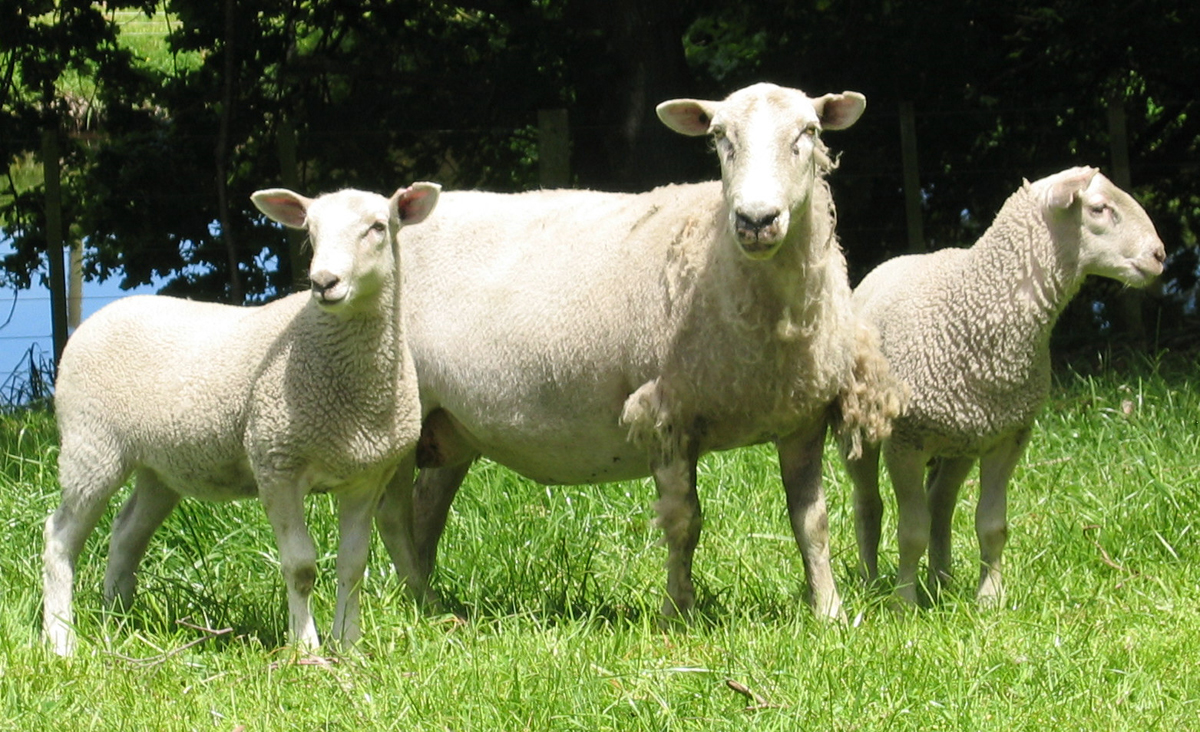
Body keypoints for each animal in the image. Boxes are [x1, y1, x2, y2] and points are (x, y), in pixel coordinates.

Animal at [42, 182, 440, 656]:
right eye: (310, 231)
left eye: (378, 226)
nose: (324, 283)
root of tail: (97, 318)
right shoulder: (276, 463)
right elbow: (300, 566)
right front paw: (306, 649)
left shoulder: (365, 475)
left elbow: (353, 564)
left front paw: (349, 646)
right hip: (90, 444)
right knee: (59, 537)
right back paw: (61, 639)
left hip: (160, 467)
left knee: (125, 534)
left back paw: (115, 620)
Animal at [374, 82, 879, 621]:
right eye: (719, 137)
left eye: (809, 132)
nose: (755, 220)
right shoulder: (667, 414)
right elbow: (685, 521)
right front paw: (678, 612)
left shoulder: (803, 419)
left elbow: (813, 522)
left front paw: (831, 613)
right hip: (400, 405)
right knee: (393, 513)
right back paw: (420, 598)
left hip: (449, 423)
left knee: (426, 507)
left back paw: (424, 599)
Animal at [842, 167, 1166, 607]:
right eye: (1099, 208)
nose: (1160, 255)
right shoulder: (905, 441)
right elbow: (910, 531)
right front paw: (903, 603)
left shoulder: (1009, 436)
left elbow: (991, 525)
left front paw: (989, 600)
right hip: (863, 428)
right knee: (868, 505)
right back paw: (872, 582)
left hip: (962, 437)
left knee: (940, 503)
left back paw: (942, 581)